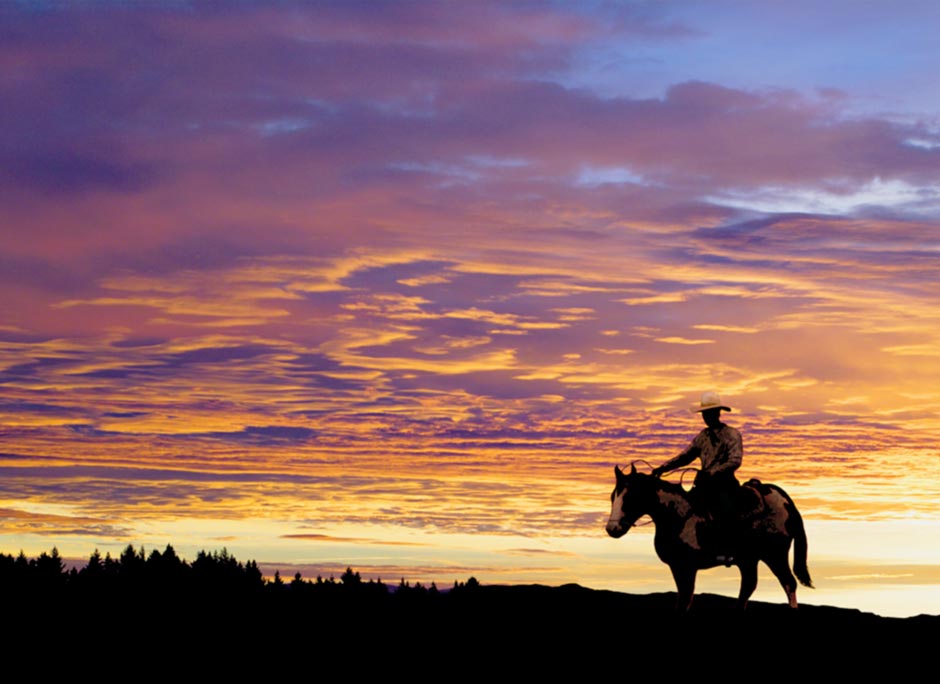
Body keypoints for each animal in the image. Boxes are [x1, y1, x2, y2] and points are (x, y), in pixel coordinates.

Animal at [604, 462, 812, 612]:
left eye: (630, 497)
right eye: (613, 497)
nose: (612, 528)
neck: (677, 514)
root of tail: (785, 500)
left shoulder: (687, 567)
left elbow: (685, 599)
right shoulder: (677, 566)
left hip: (775, 555)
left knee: (788, 583)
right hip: (749, 559)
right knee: (749, 585)